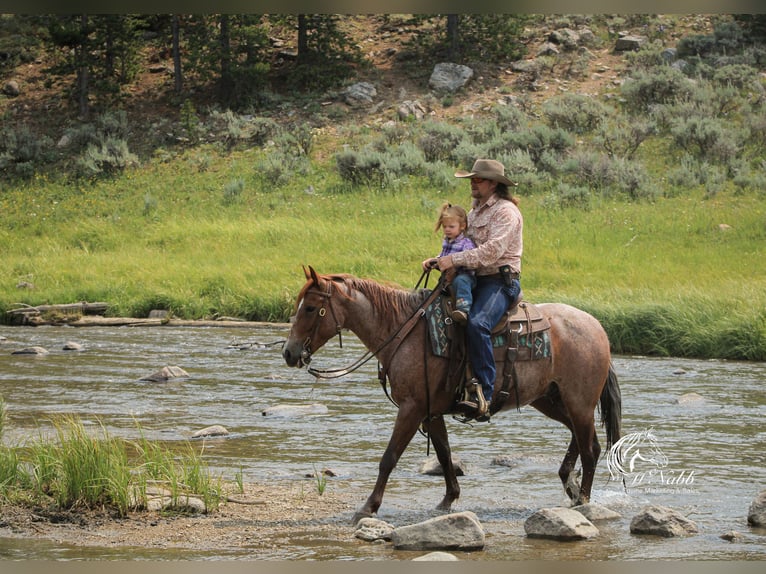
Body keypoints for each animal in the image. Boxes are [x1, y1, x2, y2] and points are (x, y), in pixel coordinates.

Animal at [282, 268, 624, 524]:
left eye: (310, 308)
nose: (289, 353)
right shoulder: (431, 411)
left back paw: (583, 499)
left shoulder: (412, 408)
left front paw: (368, 507)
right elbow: (444, 454)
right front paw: (448, 500)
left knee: (590, 448)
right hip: (551, 399)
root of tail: (598, 327)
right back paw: (570, 483)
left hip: (578, 402)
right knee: (582, 439)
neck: (403, 332)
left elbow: (389, 457)